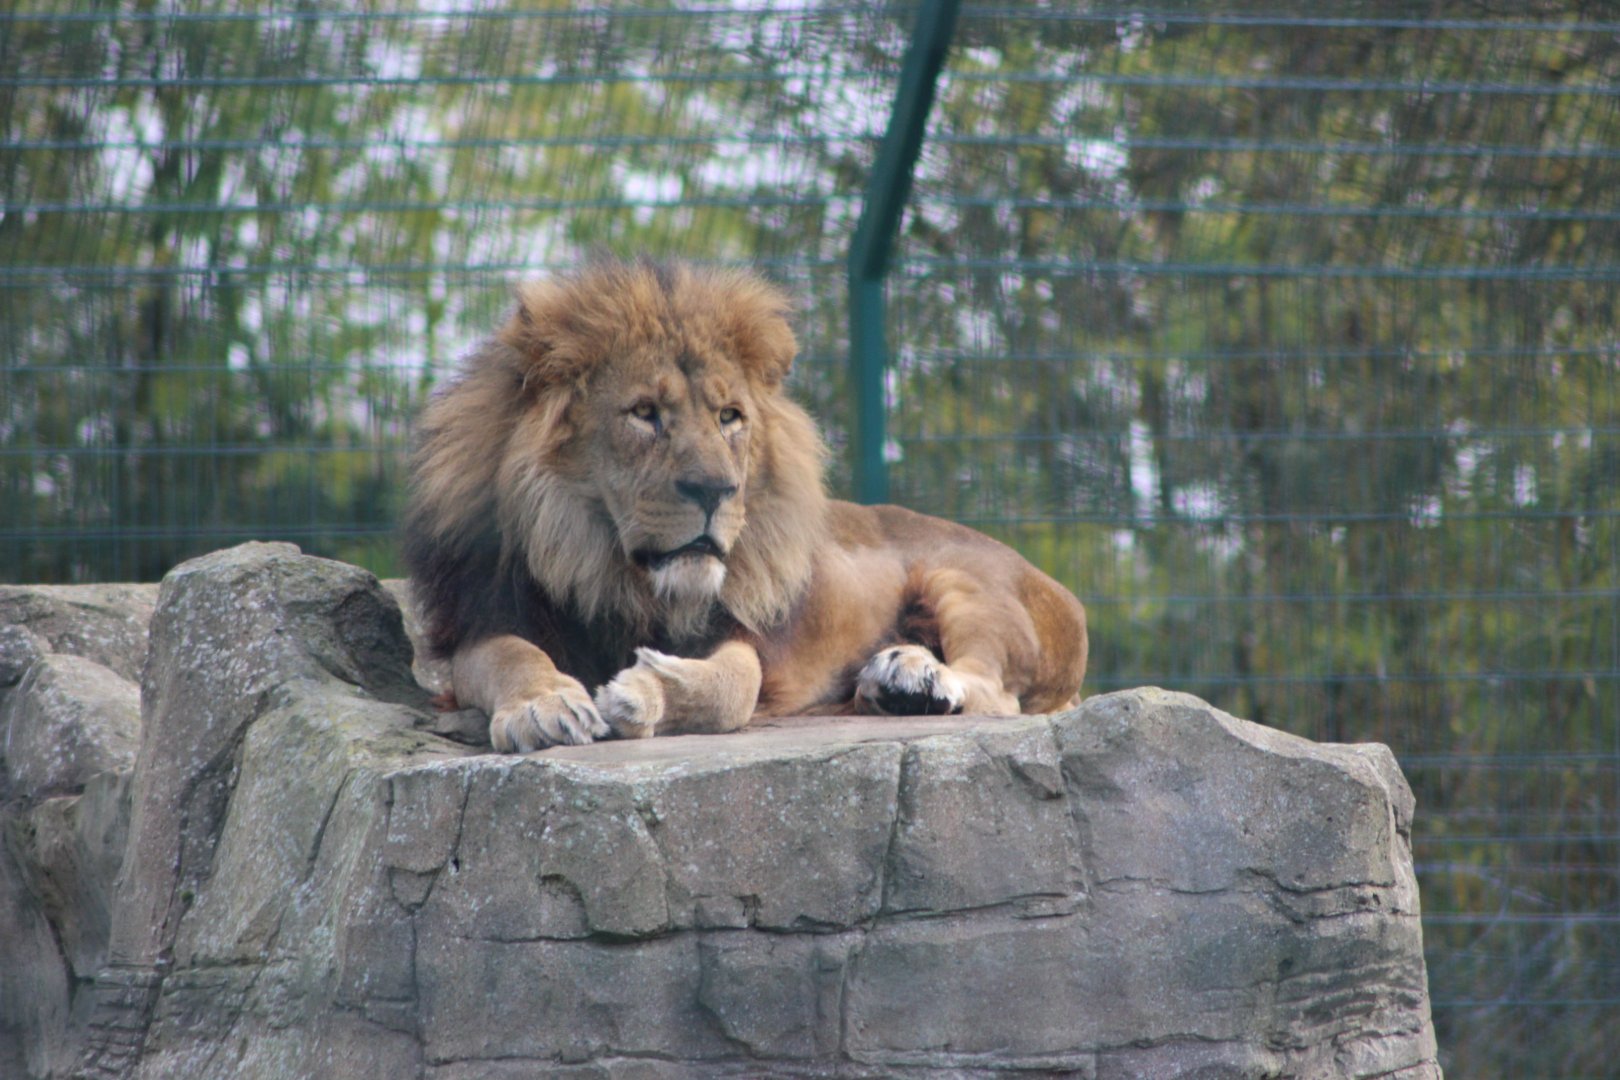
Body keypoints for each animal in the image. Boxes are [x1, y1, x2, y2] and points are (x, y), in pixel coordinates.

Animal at [401, 257, 1088, 752]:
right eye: (644, 413)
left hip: (971, 583)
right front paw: (543, 705)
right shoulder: (480, 619)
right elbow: (512, 658)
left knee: (995, 692)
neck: (606, 568)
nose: (715, 489)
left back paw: (913, 675)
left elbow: (735, 686)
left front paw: (642, 694)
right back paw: (888, 687)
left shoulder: (735, 632)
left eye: (729, 417)